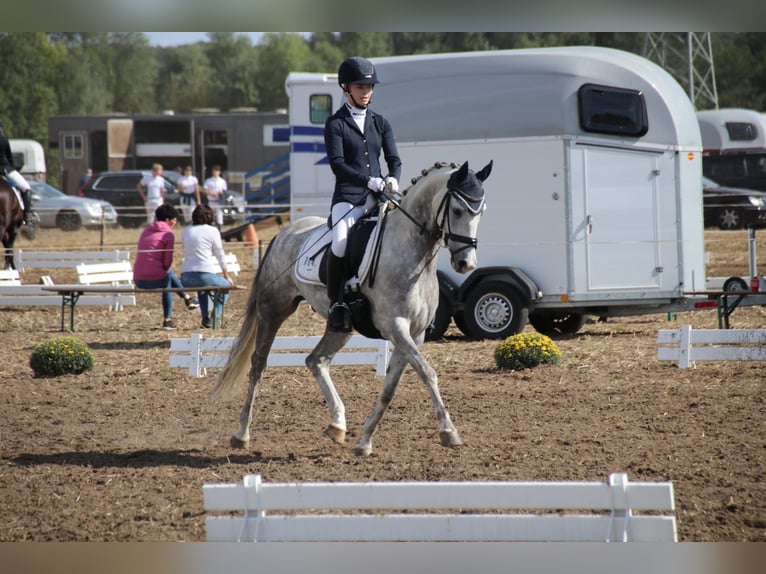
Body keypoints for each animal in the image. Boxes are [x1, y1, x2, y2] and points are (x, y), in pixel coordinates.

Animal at [213, 160, 496, 456]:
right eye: (457, 210)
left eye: (481, 211)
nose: (466, 264)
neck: (412, 253)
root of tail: (285, 232)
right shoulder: (395, 326)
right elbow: (428, 373)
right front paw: (449, 432)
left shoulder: (414, 334)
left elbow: (390, 388)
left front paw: (364, 441)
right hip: (274, 310)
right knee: (258, 364)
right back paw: (242, 433)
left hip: (340, 326)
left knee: (316, 360)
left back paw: (337, 424)